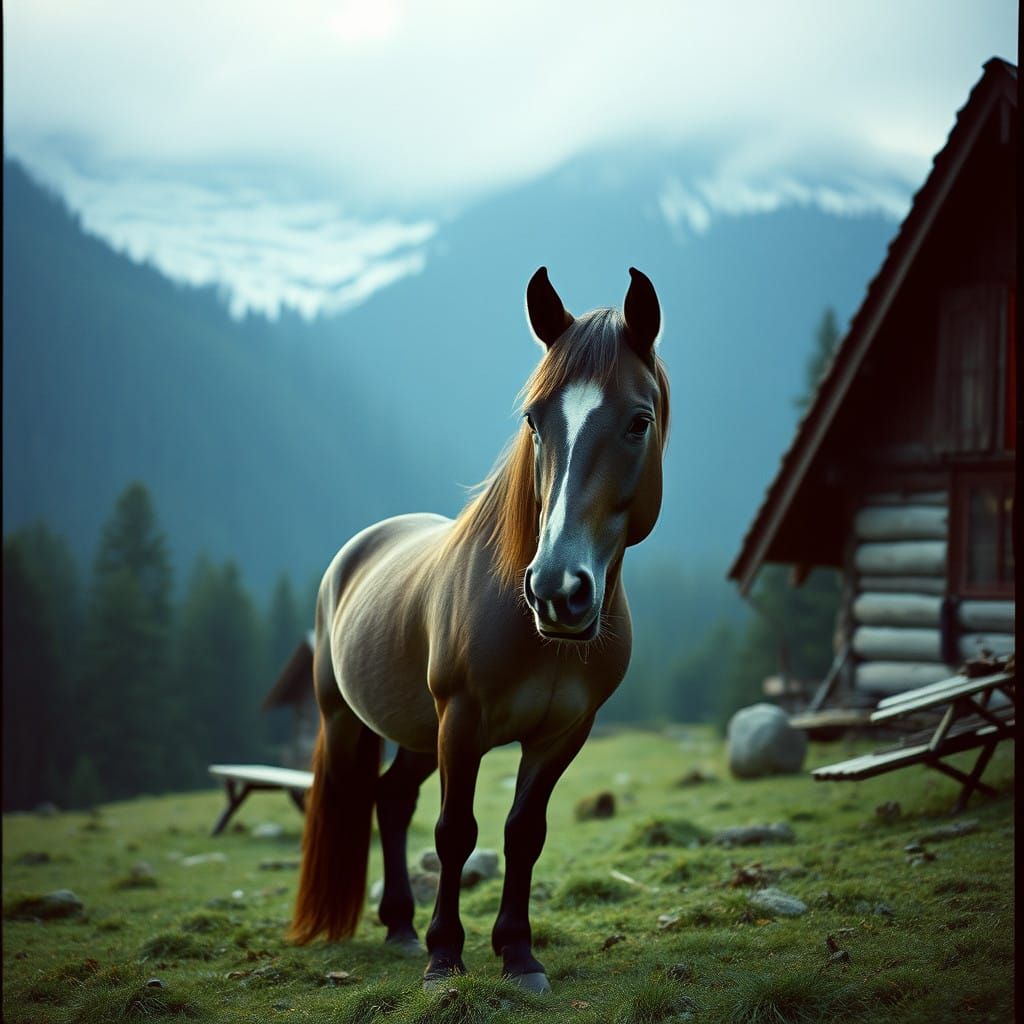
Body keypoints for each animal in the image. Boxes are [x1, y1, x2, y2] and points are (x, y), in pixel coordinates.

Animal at [289, 266, 670, 994]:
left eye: (640, 421)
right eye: (534, 419)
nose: (557, 591)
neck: (537, 637)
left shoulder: (562, 735)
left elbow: (524, 833)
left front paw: (518, 953)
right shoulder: (461, 722)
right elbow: (455, 833)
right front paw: (446, 956)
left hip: (417, 731)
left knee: (390, 798)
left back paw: (399, 926)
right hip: (353, 721)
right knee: (373, 798)